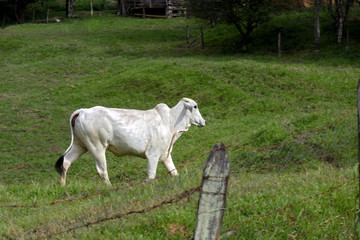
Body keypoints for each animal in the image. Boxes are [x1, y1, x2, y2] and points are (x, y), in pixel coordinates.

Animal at [54, 97, 205, 186]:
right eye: (195, 106)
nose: (203, 121)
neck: (171, 122)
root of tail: (82, 111)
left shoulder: (165, 155)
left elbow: (174, 172)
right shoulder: (153, 154)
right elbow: (151, 175)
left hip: (80, 145)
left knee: (65, 162)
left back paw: (63, 186)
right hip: (96, 146)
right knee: (102, 170)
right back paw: (110, 188)